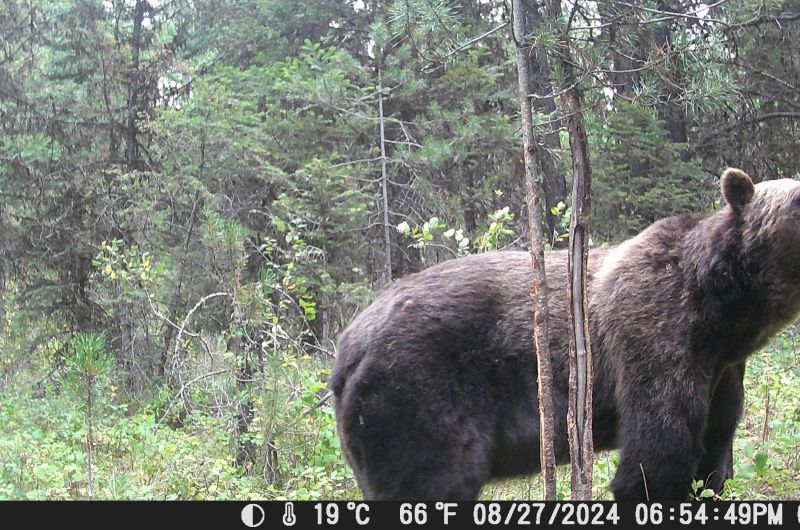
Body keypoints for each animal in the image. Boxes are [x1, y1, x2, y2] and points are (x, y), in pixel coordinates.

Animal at [330, 168, 800, 500]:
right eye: (796, 201)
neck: (719, 315)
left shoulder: (723, 371)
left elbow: (714, 451)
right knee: (426, 479)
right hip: (415, 397)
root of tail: (348, 345)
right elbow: (655, 458)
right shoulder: (654, 335)